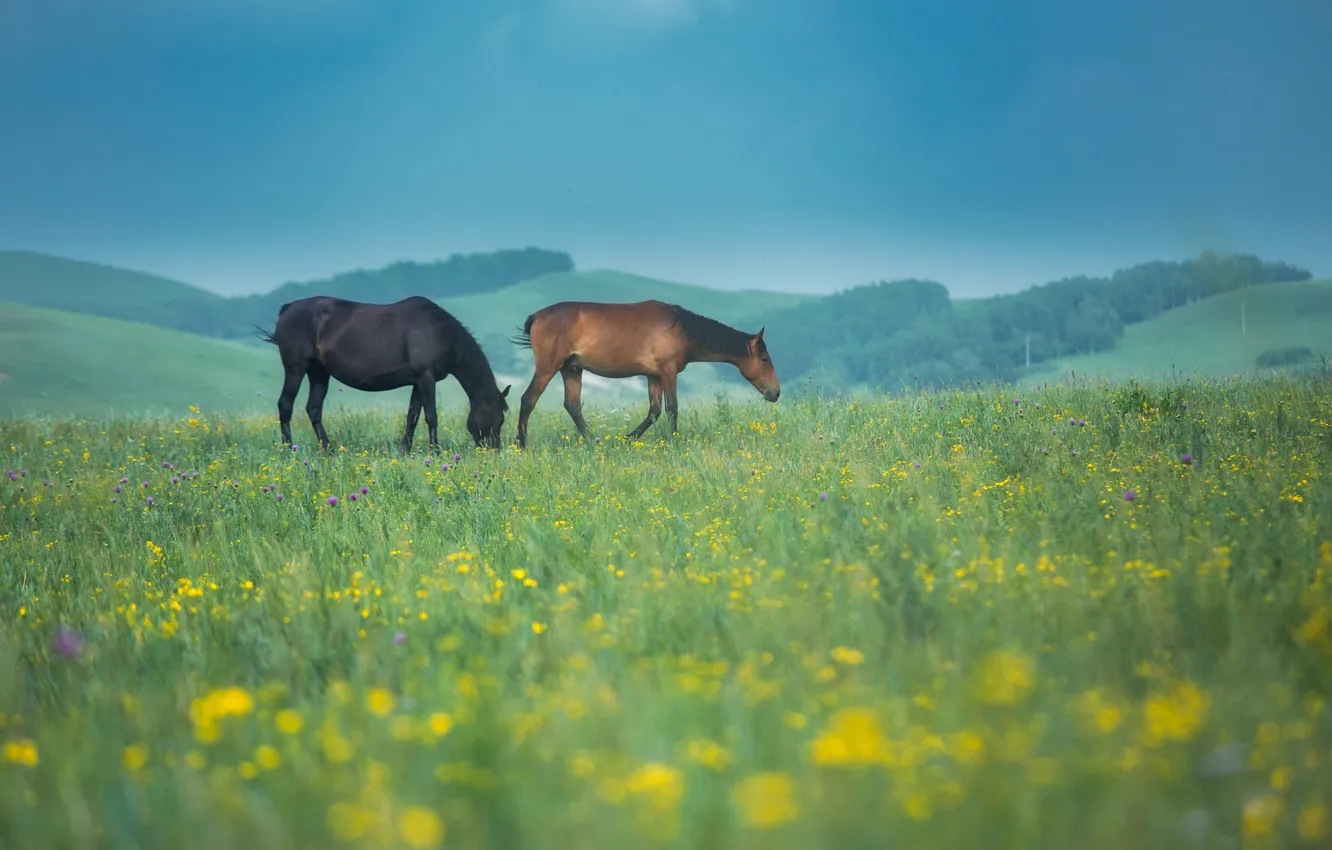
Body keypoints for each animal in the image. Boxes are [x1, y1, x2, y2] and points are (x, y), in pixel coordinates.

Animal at [255, 295, 511, 452]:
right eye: (499, 419)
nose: (494, 451)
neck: (441, 332)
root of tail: (287, 309)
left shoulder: (418, 382)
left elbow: (412, 417)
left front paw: (405, 451)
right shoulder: (426, 378)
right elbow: (431, 416)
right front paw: (436, 452)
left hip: (319, 372)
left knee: (314, 409)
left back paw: (329, 451)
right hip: (296, 369)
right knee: (285, 405)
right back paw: (288, 450)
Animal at [509, 299, 779, 448]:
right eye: (764, 359)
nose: (775, 393)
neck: (681, 328)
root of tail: (538, 316)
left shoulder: (653, 376)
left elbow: (654, 411)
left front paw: (628, 438)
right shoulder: (668, 373)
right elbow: (672, 409)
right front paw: (674, 441)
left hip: (571, 369)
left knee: (573, 406)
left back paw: (594, 441)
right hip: (548, 368)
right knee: (528, 400)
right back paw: (522, 445)